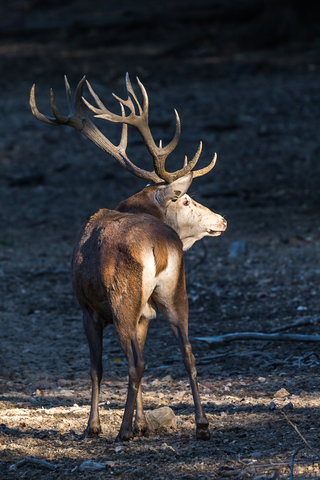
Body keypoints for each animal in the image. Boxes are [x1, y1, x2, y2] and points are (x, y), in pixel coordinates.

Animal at [29, 73, 225, 440]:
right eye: (187, 200)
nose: (222, 220)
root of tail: (160, 244)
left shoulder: (87, 309)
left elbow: (96, 368)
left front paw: (95, 426)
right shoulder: (144, 315)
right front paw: (143, 423)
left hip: (122, 297)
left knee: (135, 363)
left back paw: (120, 431)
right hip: (175, 293)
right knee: (187, 354)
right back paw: (202, 424)